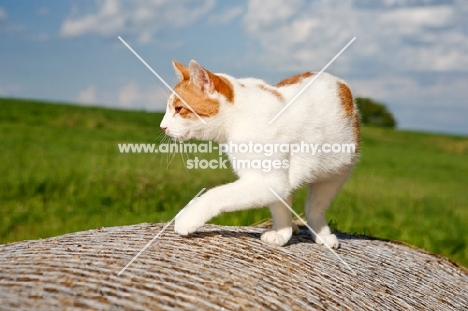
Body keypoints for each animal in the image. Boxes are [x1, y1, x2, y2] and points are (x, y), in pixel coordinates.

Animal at [159, 59, 360, 249]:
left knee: (314, 208)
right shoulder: (276, 182)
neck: (237, 118)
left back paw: (322, 233)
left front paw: (187, 217)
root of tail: (337, 81)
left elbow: (216, 194)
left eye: (178, 109)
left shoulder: (271, 181)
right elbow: (280, 207)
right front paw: (282, 232)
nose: (162, 126)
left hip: (336, 173)